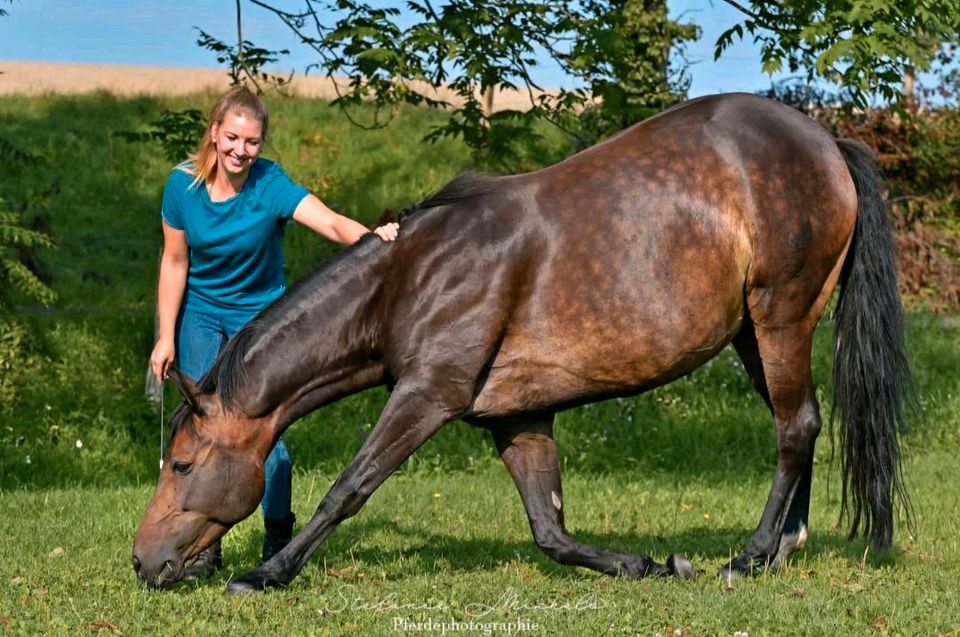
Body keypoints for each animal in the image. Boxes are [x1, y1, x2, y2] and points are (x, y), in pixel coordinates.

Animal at [131, 93, 912, 592]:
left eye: (182, 462)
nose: (143, 563)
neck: (411, 277)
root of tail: (826, 143)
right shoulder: (516, 416)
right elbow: (551, 529)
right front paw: (647, 564)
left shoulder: (426, 396)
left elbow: (348, 488)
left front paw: (265, 572)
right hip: (756, 334)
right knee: (798, 422)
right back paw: (782, 547)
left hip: (781, 318)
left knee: (795, 425)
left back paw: (748, 557)